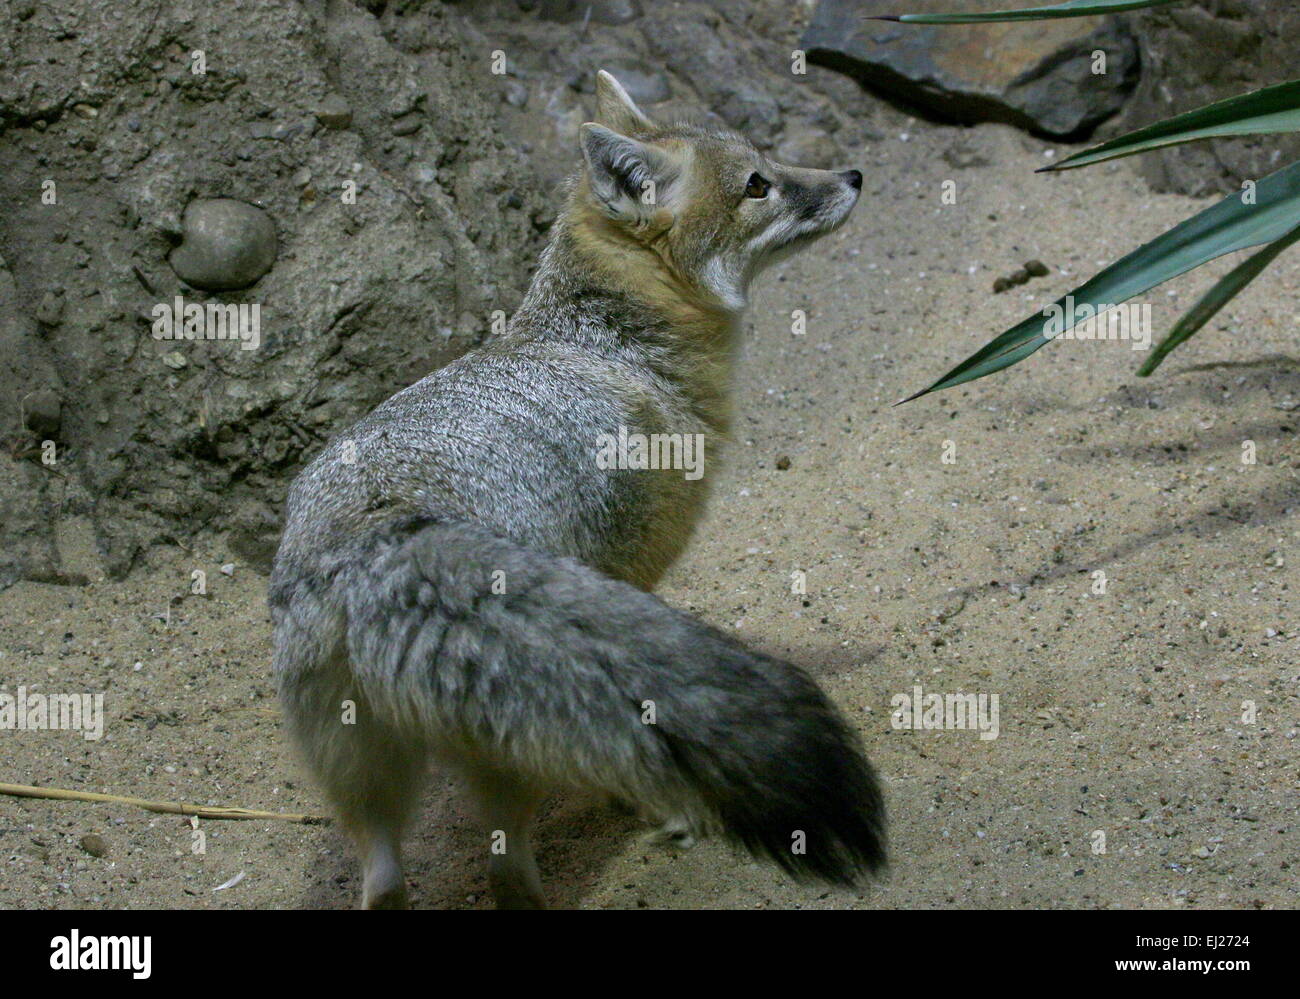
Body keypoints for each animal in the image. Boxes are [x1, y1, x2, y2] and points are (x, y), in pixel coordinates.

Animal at [271, 70, 883, 910]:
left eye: (768, 164)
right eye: (758, 184)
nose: (853, 175)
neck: (608, 343)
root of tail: (382, 532)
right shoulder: (629, 573)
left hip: (364, 779)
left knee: (387, 881)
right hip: (508, 755)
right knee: (506, 868)